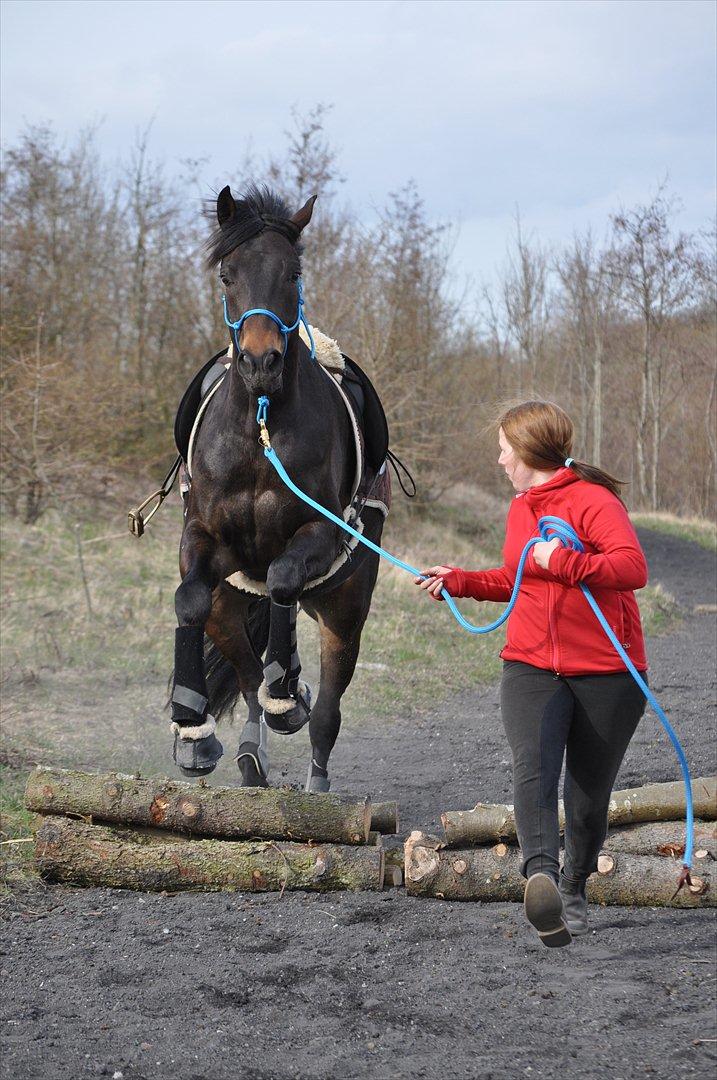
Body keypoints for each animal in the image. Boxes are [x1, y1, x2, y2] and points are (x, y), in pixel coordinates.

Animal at [169, 185, 386, 794]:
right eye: (227, 274)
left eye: (293, 273)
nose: (261, 361)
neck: (258, 432)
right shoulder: (204, 540)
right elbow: (189, 600)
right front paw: (192, 728)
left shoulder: (317, 533)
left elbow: (286, 575)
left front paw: (288, 690)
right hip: (231, 596)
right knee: (244, 673)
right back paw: (246, 748)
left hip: (344, 608)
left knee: (328, 710)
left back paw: (311, 768)